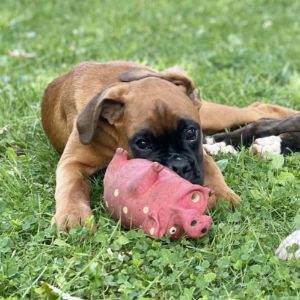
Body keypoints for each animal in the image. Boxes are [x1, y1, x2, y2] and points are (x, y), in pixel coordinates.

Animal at [41, 61, 298, 230]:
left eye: (191, 132)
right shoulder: (72, 162)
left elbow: (212, 170)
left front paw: (223, 195)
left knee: (259, 109)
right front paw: (73, 214)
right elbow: (71, 186)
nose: (178, 166)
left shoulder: (198, 151)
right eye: (143, 143)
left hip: (211, 115)